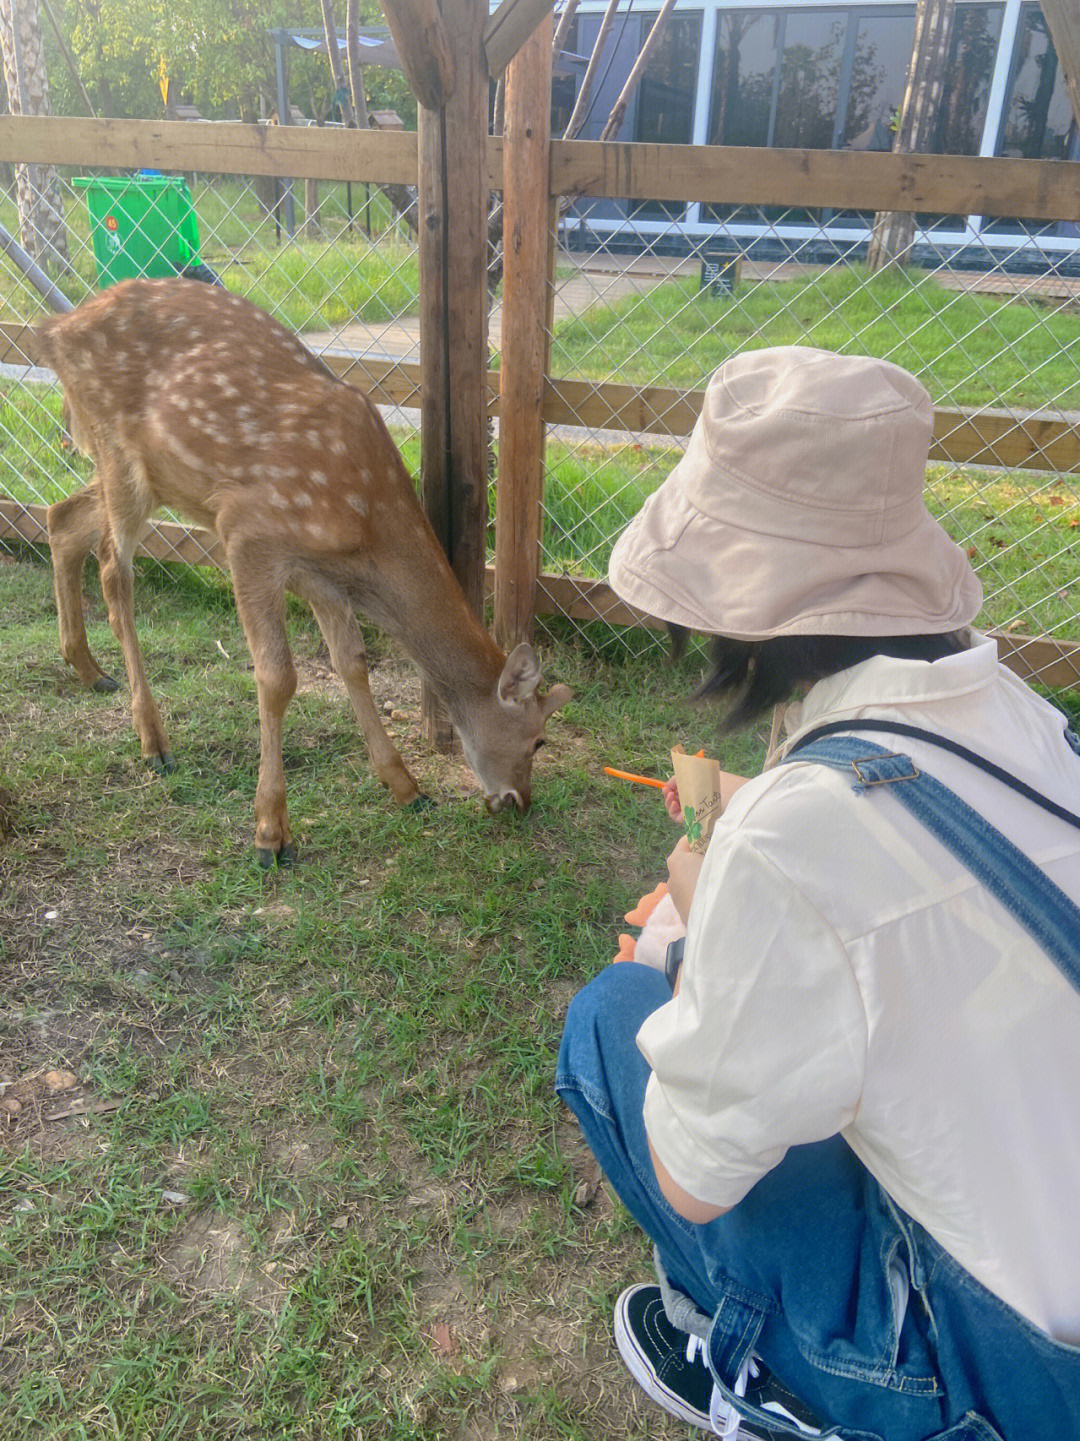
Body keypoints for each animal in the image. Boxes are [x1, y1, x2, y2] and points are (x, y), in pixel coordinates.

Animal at [35, 280, 573, 864]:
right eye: (538, 739)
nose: (519, 802)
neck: (365, 529)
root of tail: (55, 331)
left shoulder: (321, 577)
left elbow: (352, 663)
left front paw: (406, 787)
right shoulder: (248, 535)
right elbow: (277, 678)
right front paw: (271, 832)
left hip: (154, 477)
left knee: (62, 518)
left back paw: (89, 669)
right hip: (120, 455)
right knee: (115, 571)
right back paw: (153, 741)